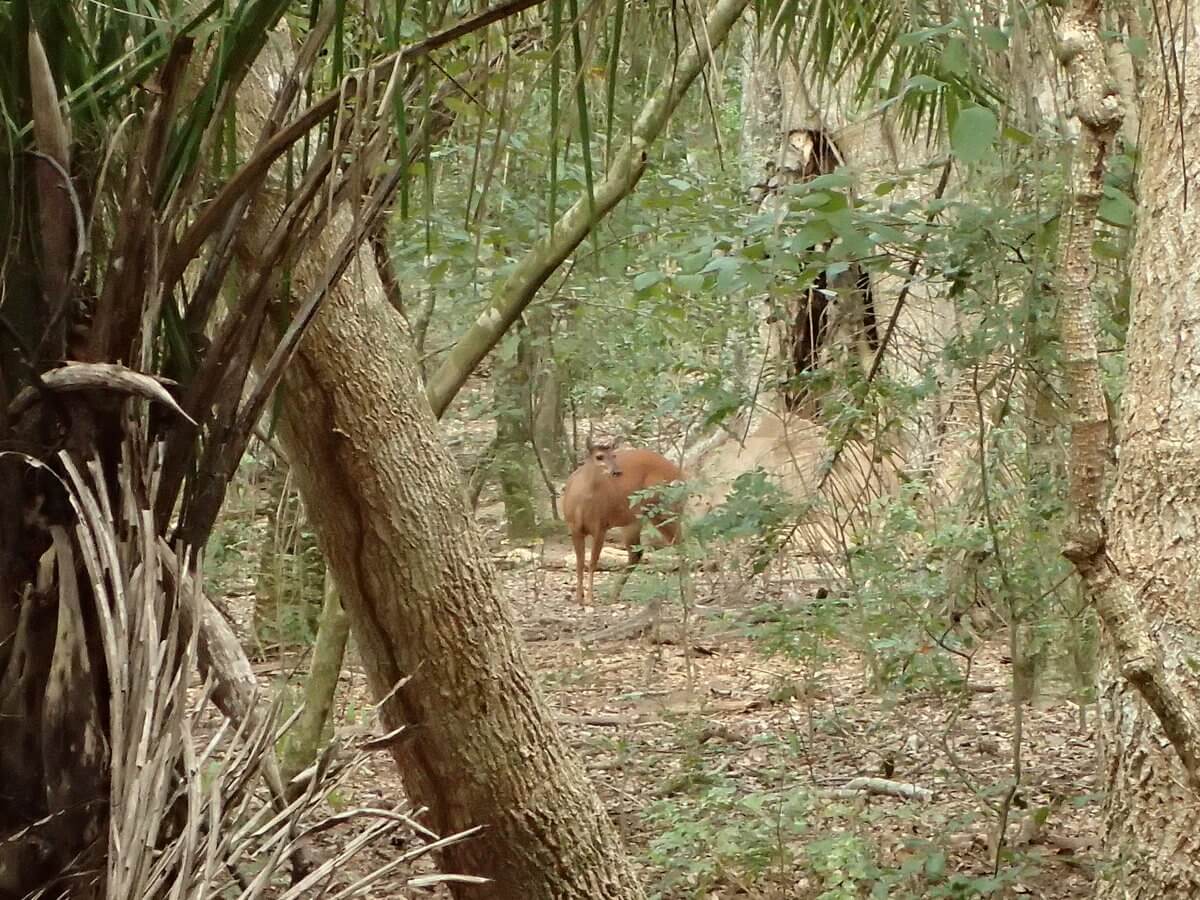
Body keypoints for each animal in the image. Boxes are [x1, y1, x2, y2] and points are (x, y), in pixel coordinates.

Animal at [561, 436, 686, 607]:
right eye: (599, 456)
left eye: (614, 455)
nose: (617, 471)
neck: (582, 504)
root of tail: (682, 476)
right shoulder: (574, 528)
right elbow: (580, 563)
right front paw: (579, 597)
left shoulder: (601, 526)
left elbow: (592, 562)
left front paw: (589, 598)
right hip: (633, 521)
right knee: (638, 553)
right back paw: (613, 595)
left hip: (662, 509)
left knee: (681, 543)